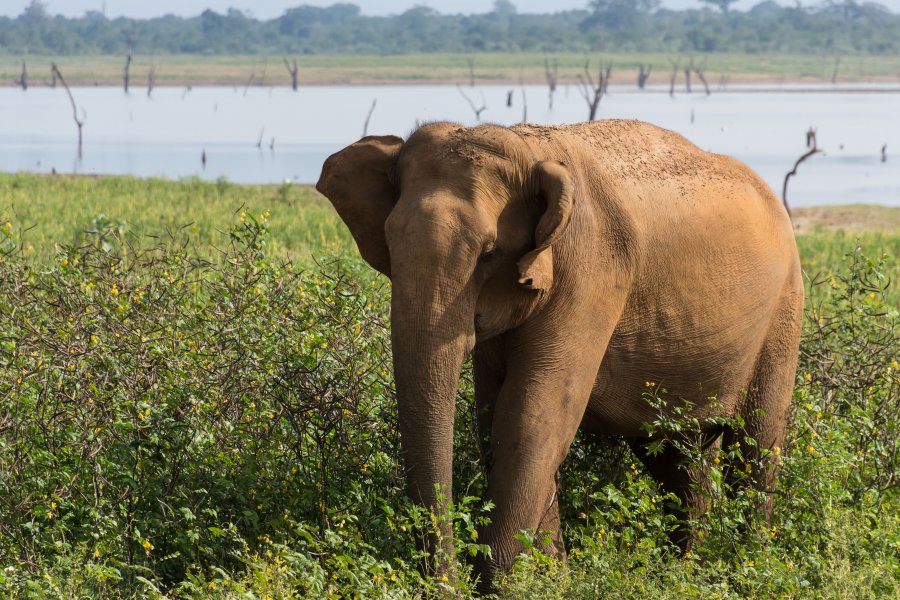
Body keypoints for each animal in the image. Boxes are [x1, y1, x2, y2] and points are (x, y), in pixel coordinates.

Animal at [314, 119, 800, 588]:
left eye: (488, 253)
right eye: (388, 246)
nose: (448, 584)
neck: (530, 149)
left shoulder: (591, 273)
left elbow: (533, 415)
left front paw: (501, 584)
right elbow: (496, 415)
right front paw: (550, 579)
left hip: (783, 313)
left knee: (757, 444)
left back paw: (745, 566)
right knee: (675, 456)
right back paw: (685, 570)